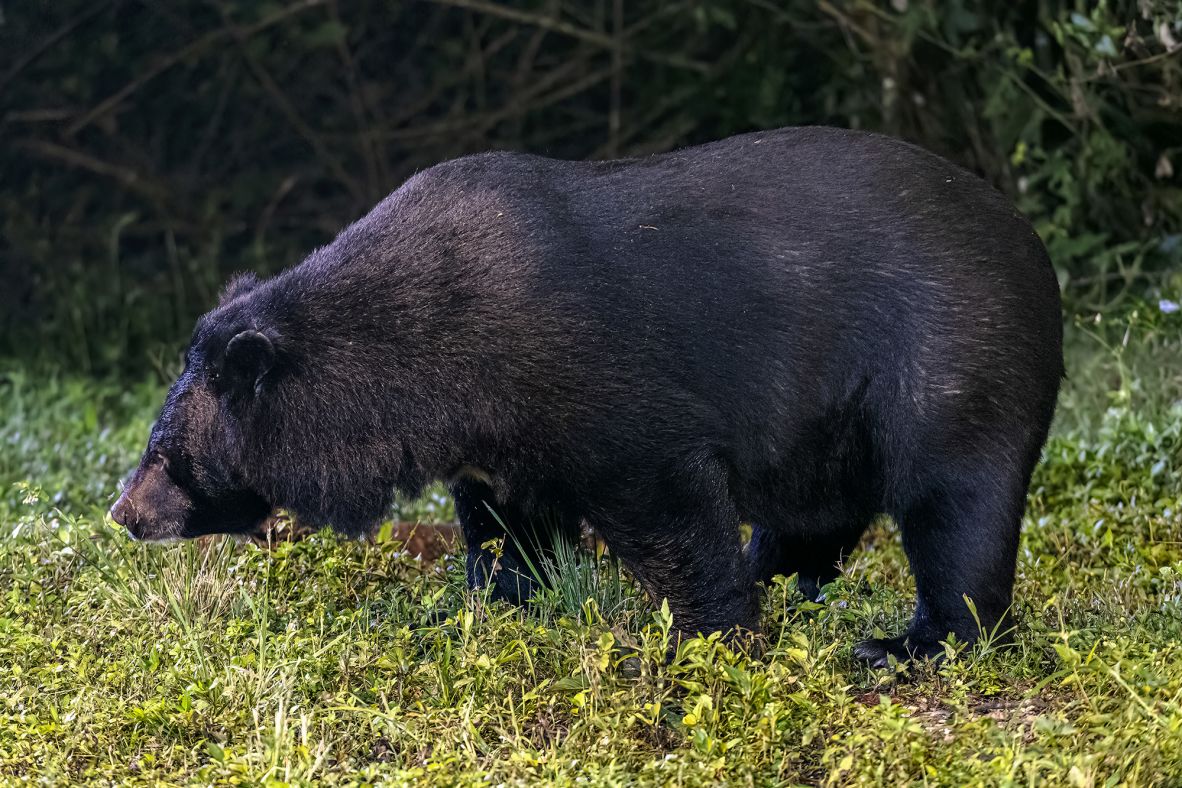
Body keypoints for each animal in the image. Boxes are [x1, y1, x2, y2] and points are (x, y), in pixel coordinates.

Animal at [110, 126, 1063, 666]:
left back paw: (910, 644)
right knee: (815, 514)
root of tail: (1033, 246)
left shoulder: (594, 378)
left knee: (955, 508)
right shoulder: (496, 440)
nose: (123, 513)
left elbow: (665, 500)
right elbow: (510, 533)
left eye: (165, 454)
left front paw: (707, 637)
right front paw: (489, 610)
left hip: (947, 358)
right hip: (832, 417)